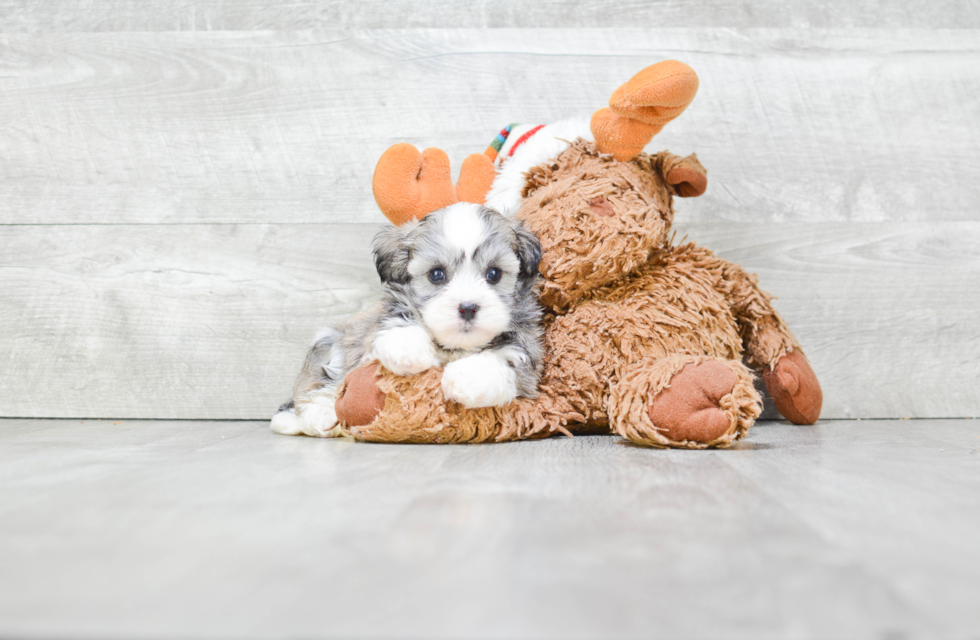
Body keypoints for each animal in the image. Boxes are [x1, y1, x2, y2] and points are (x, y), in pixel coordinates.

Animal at [270, 202, 544, 438]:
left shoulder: (526, 357)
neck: (453, 347)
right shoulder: (378, 330)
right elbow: (399, 326)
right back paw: (317, 416)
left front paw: (468, 379)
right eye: (436, 274)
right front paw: (408, 352)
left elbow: (505, 362)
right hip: (329, 345)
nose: (467, 308)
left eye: (494, 274)